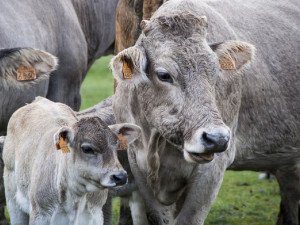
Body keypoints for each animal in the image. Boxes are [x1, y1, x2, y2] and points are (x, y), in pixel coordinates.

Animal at [2, 97, 141, 225]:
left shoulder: (96, 214)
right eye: (87, 148)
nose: (120, 176)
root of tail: (40, 100)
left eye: (116, 145)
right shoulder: (40, 215)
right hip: (12, 198)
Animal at [110, 0, 300, 224]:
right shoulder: (137, 164)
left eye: (216, 71)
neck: (156, 143)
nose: (216, 138)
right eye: (164, 75)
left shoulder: (213, 169)